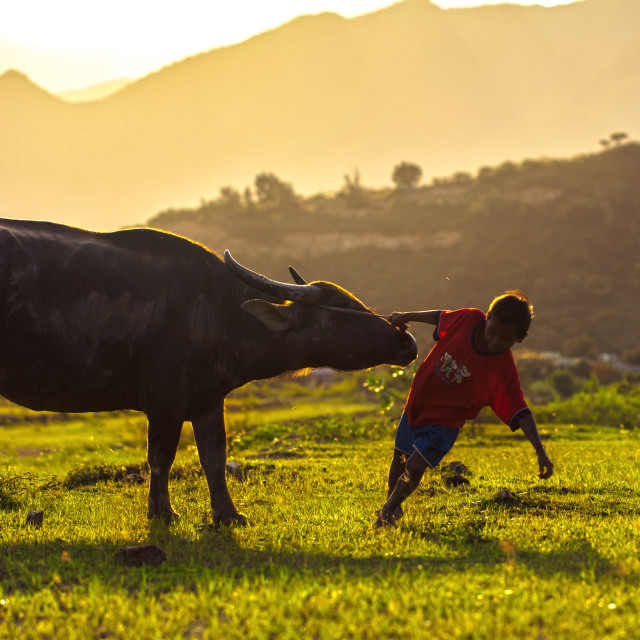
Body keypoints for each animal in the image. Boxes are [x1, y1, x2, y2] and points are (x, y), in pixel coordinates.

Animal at [0, 220, 418, 524]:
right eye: (342, 308)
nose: (407, 340)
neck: (216, 312)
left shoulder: (208, 401)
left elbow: (214, 458)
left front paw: (228, 514)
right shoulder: (165, 402)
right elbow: (160, 458)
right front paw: (162, 513)